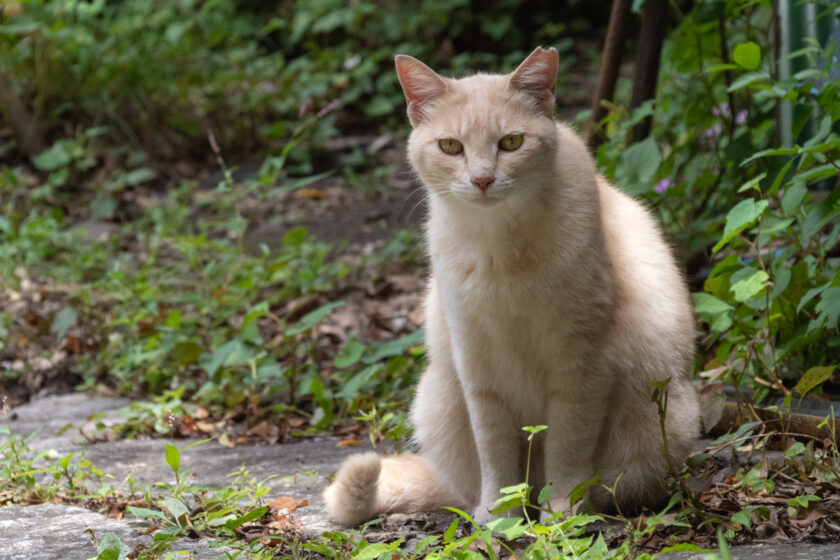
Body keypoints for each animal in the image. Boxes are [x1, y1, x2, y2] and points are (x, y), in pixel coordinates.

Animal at [324, 47, 700, 524]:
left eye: (511, 143)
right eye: (451, 146)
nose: (483, 179)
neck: (500, 253)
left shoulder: (582, 364)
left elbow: (569, 446)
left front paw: (564, 510)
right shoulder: (478, 368)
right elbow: (495, 452)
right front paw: (499, 515)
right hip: (435, 400)